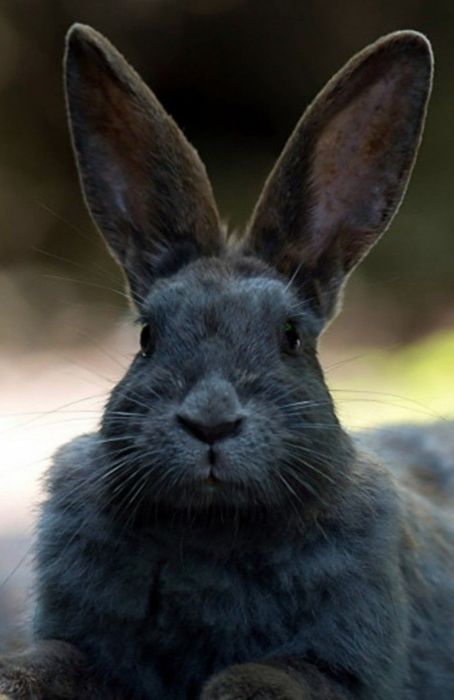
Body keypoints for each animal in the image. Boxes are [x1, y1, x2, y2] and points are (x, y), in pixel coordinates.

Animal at [1, 21, 453, 700]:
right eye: (147, 337)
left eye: (291, 337)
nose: (210, 423)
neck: (211, 526)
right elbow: (48, 663)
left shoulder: (340, 670)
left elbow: (254, 678)